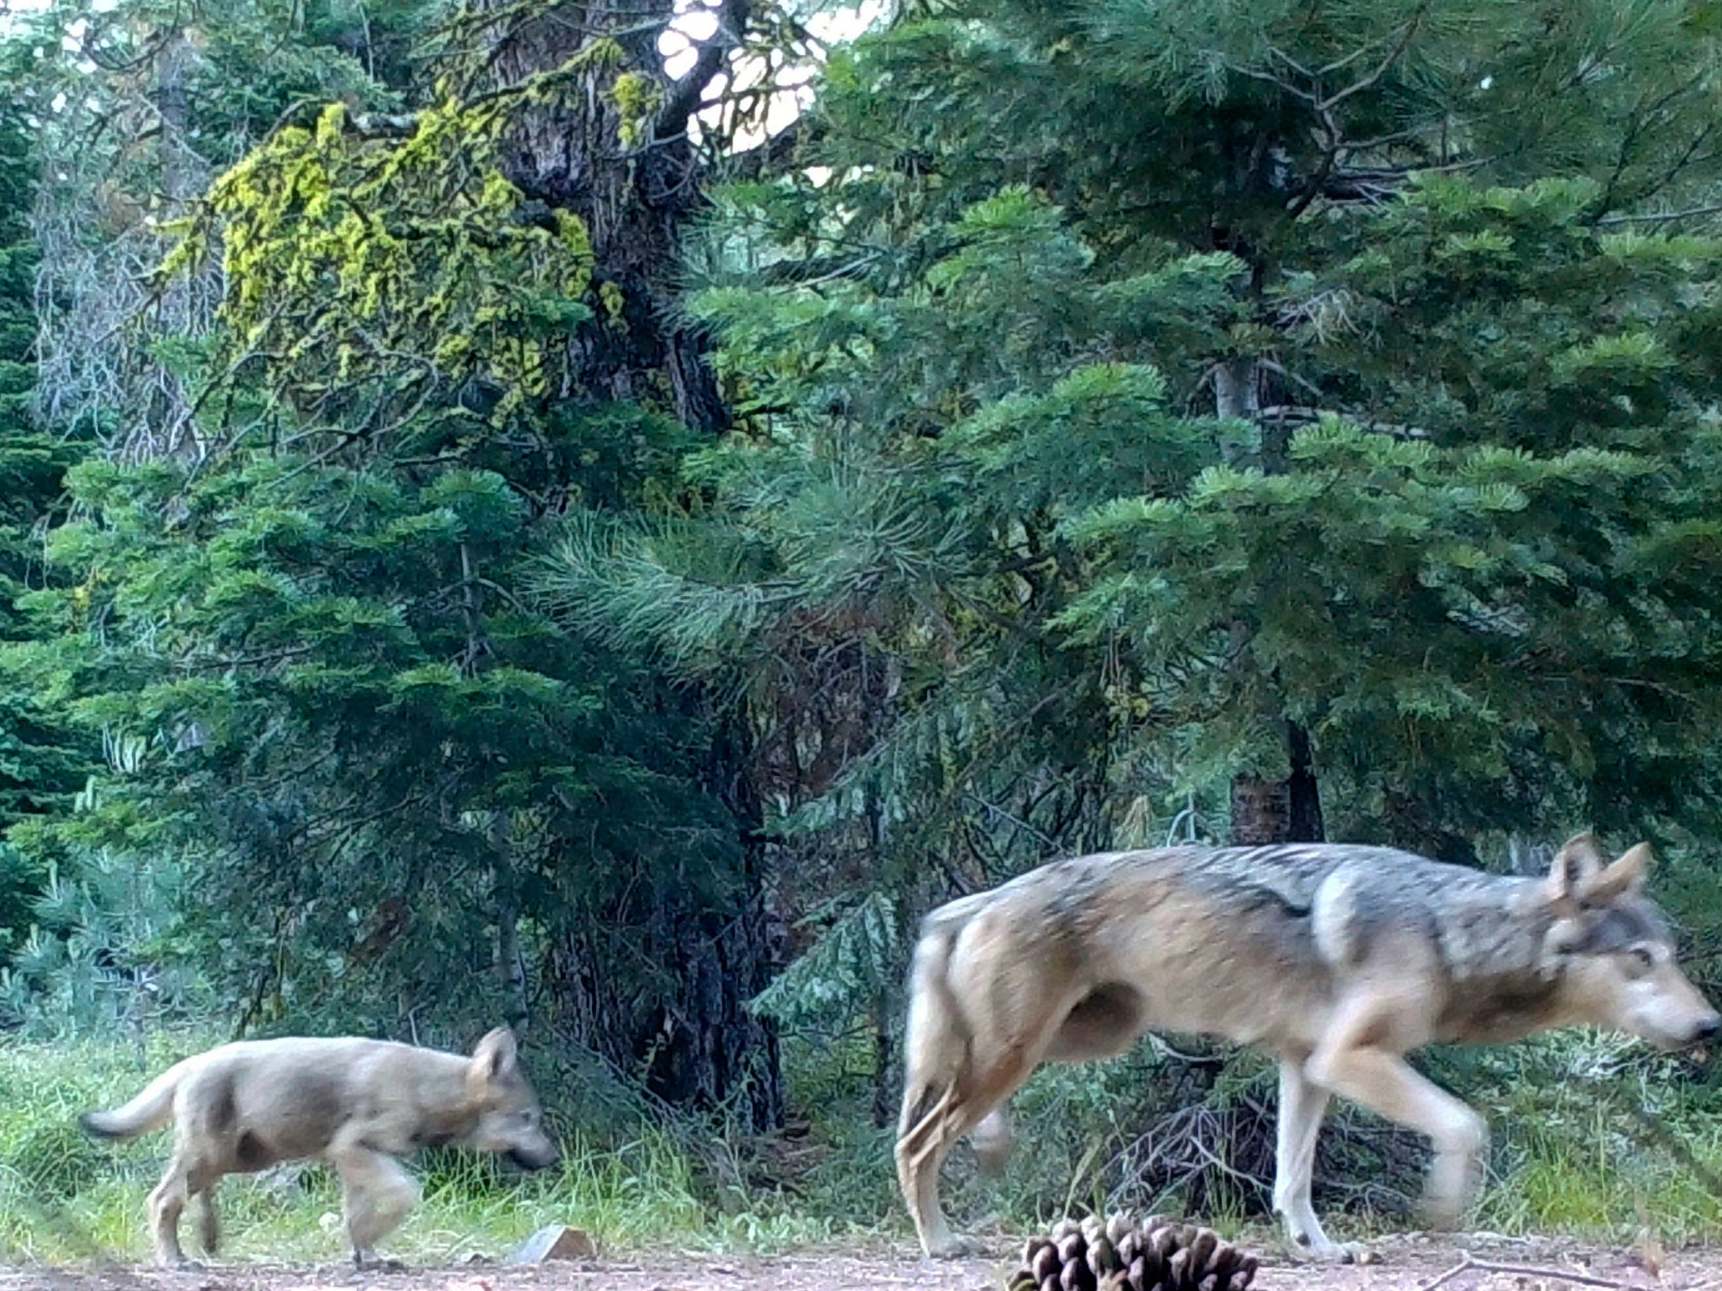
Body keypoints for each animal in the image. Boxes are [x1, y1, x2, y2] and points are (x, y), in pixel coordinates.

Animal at [80, 1025, 560, 1269]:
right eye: (530, 1119)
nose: (556, 1159)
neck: (428, 1090)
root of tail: (190, 1062)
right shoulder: (352, 1149)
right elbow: (404, 1194)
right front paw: (369, 1249)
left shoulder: (352, 1160)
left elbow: (356, 1217)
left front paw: (366, 1256)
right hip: (215, 1157)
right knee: (162, 1199)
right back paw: (174, 1261)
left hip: (237, 1160)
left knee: (186, 1199)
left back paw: (203, 1244)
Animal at [895, 833, 1718, 1262]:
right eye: (1641, 959)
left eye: (1672, 955)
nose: (1711, 1027)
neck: (1450, 934)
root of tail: (972, 901)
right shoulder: (1346, 1058)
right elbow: (1466, 1124)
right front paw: (1443, 1209)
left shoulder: (1306, 1064)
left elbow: (1291, 1179)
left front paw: (1316, 1249)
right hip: (1020, 1051)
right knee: (916, 1143)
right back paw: (939, 1240)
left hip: (1083, 1039)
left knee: (952, 1117)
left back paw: (990, 1148)